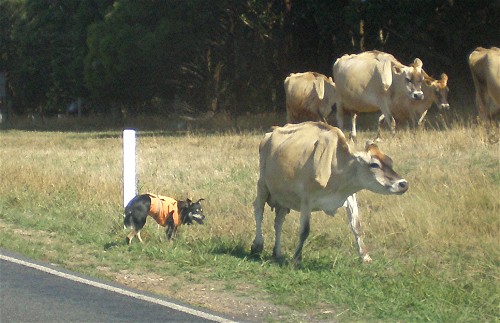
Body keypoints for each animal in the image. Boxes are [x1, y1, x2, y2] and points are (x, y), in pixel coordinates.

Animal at [252, 122, 408, 266]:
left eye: (390, 161)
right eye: (374, 164)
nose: (403, 184)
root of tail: (271, 132)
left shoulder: (350, 196)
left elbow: (356, 227)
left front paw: (365, 257)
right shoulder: (306, 199)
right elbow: (304, 231)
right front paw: (297, 259)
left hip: (283, 197)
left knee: (278, 221)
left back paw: (277, 252)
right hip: (262, 185)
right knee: (258, 209)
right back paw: (257, 245)